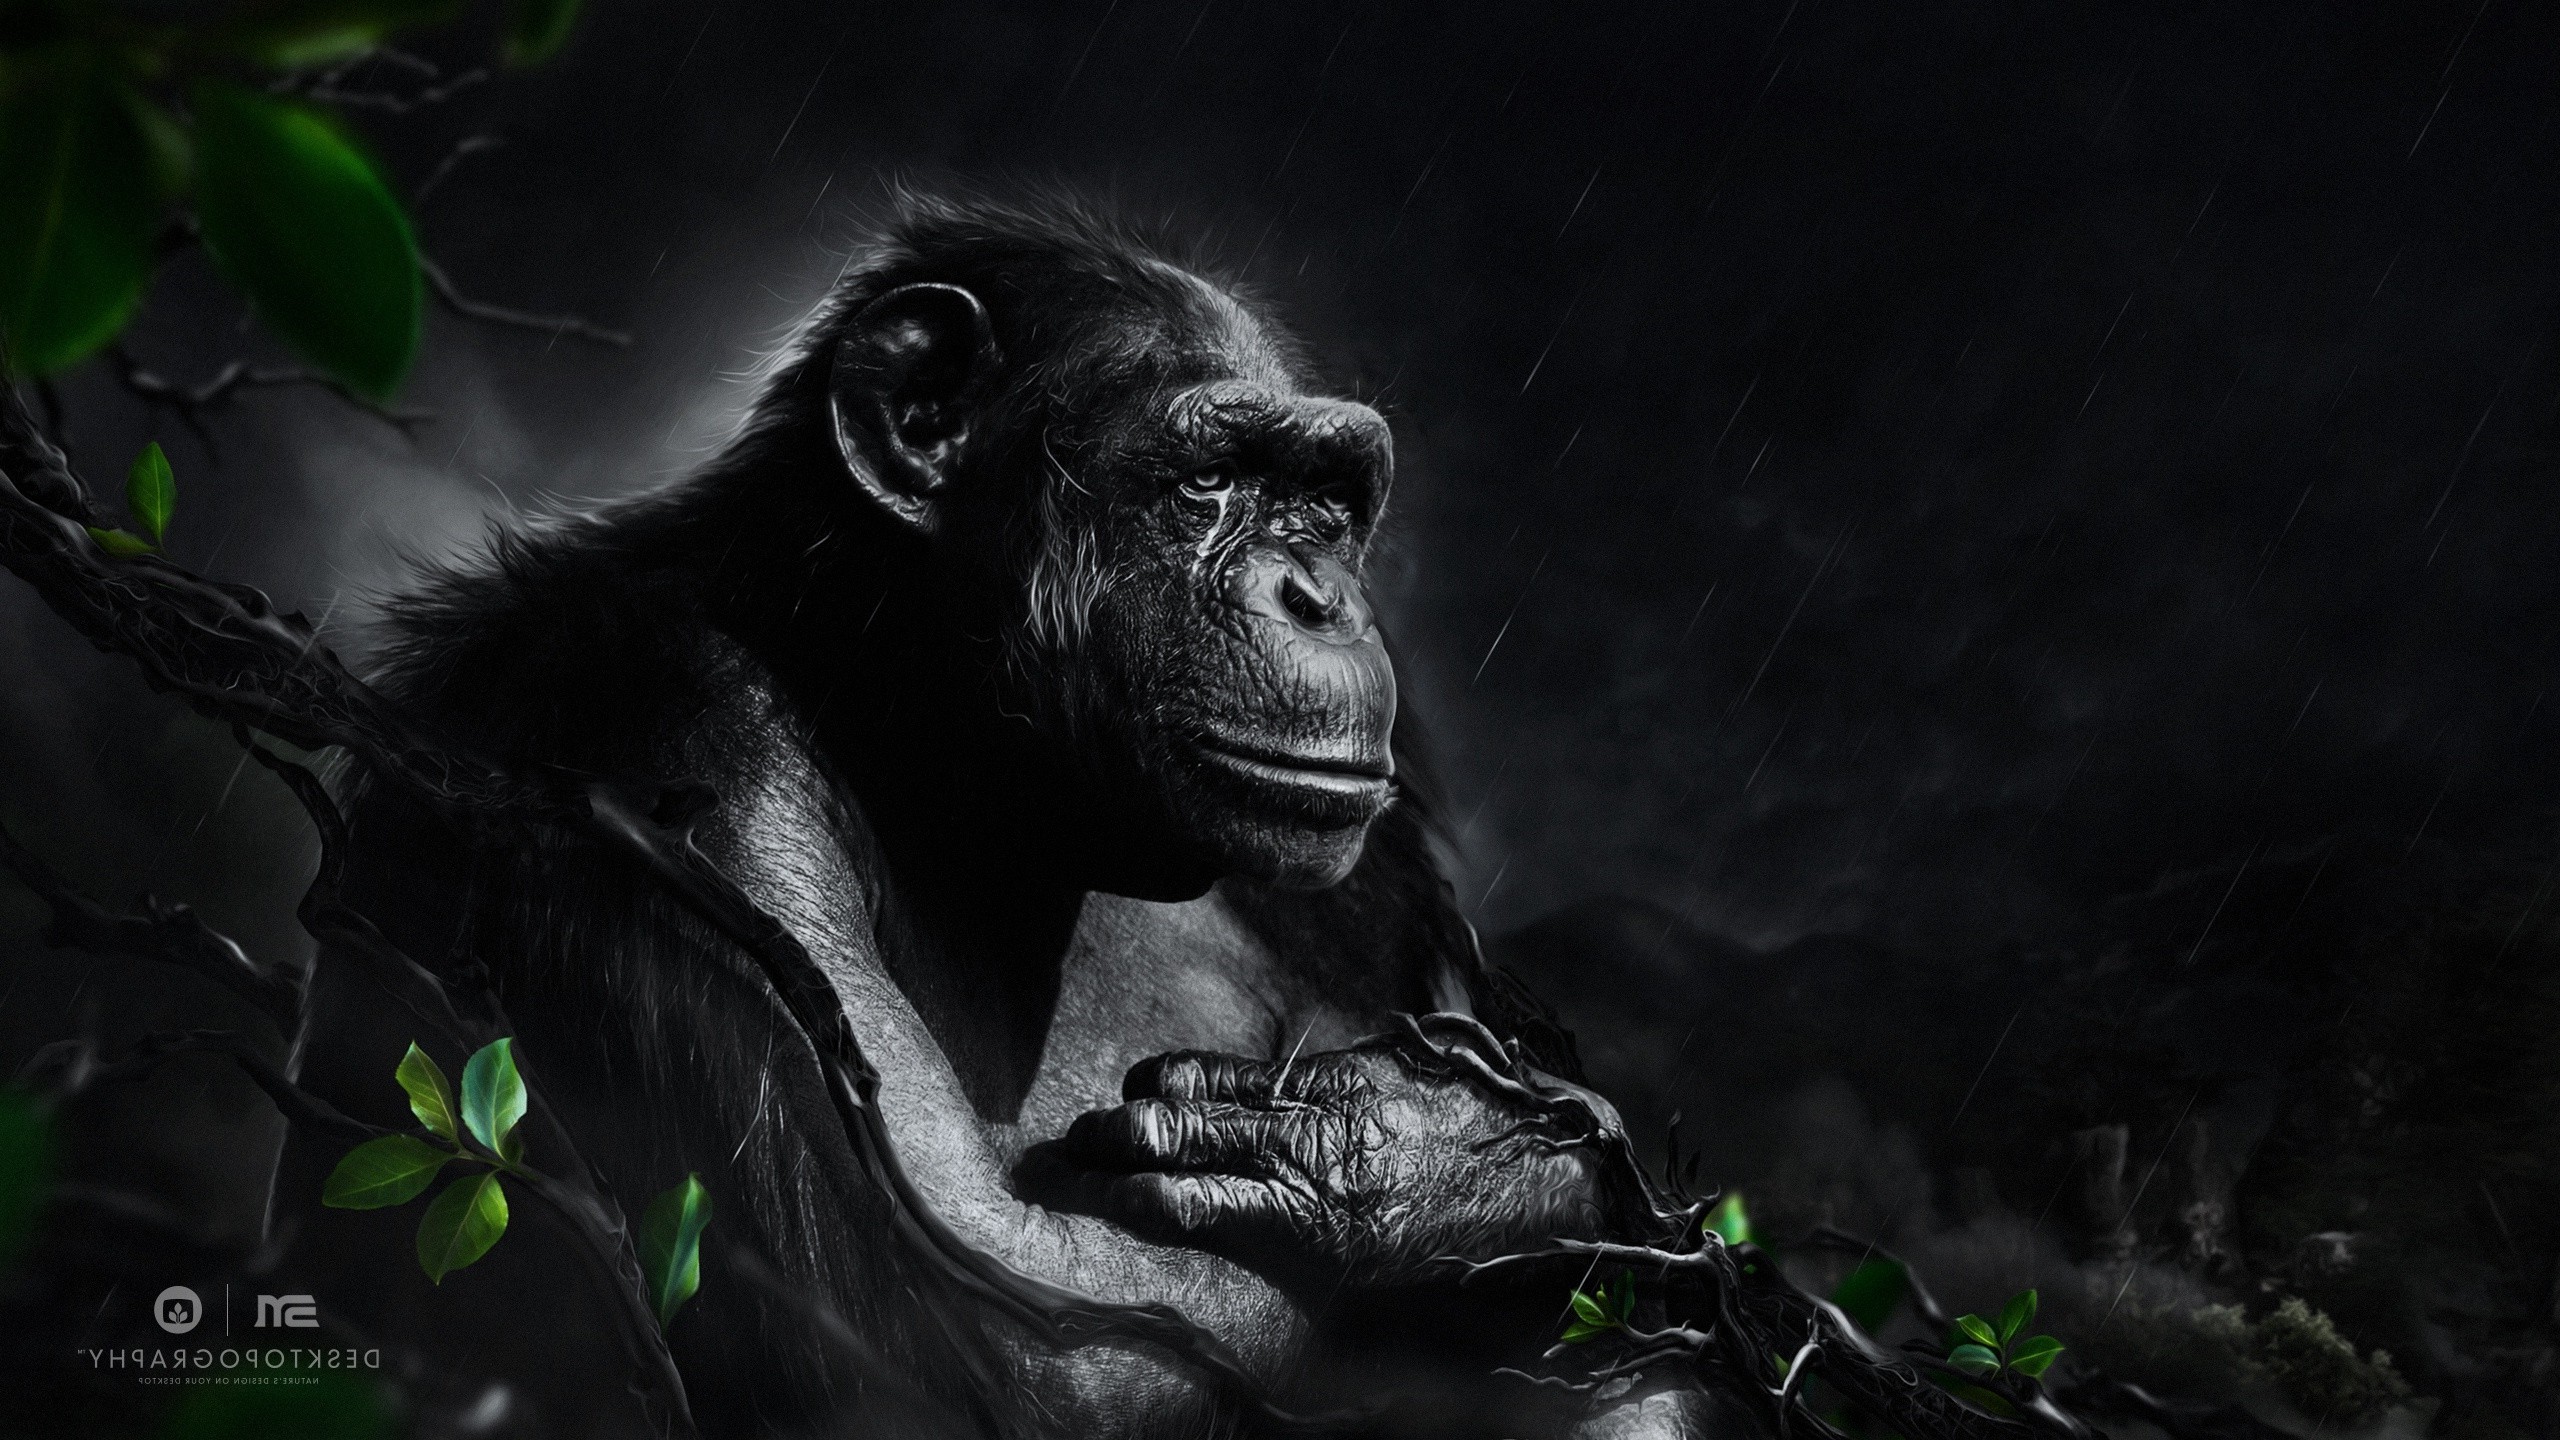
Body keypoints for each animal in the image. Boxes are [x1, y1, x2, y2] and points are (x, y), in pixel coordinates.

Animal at [275, 193, 1745, 1439]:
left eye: (1326, 502)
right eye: (1210, 482)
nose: (1318, 596)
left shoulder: (1386, 869)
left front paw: (1420, 1163)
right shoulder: (657, 743)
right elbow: (996, 1337)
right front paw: (1436, 1166)